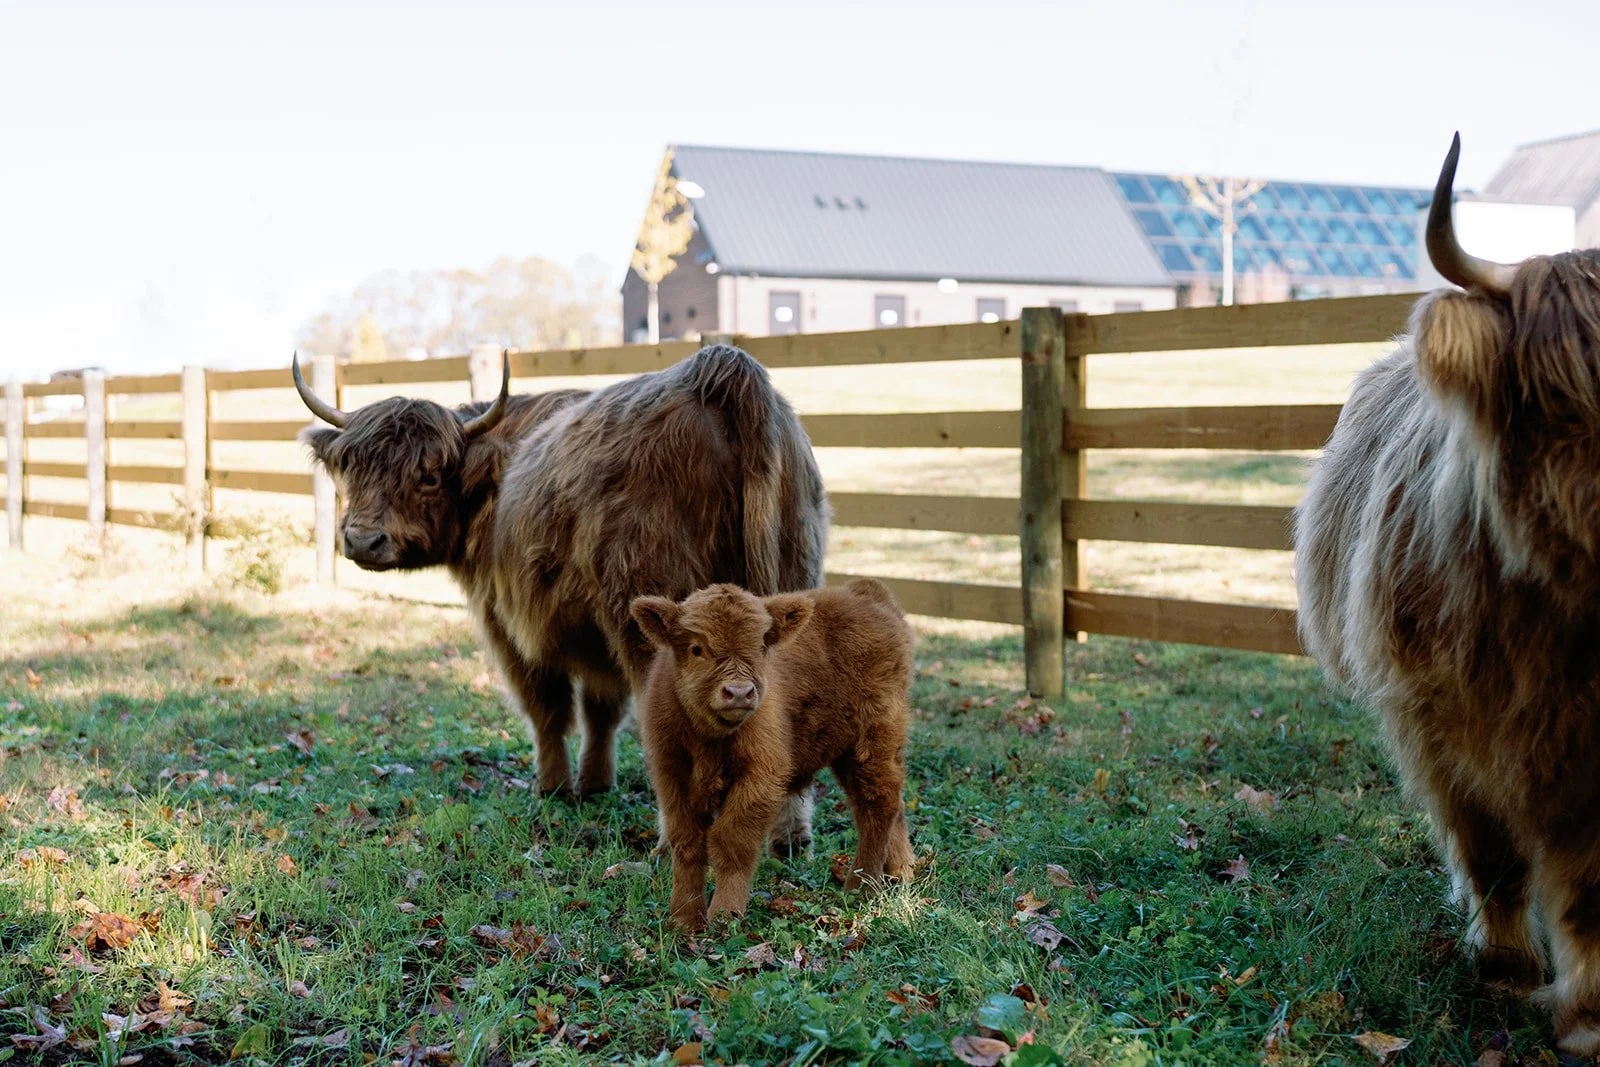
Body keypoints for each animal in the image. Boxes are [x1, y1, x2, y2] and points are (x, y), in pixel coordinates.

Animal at [293, 343, 830, 854]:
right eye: (354, 469)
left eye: (429, 475)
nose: (362, 540)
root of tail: (719, 369)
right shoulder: (595, 635)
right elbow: (601, 710)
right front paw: (594, 783)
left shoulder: (509, 622)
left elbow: (547, 708)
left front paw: (552, 787)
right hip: (789, 587)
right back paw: (789, 836)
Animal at [630, 578, 915, 931]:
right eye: (697, 648)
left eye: (761, 646)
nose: (739, 693)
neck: (709, 738)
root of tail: (864, 591)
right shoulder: (672, 773)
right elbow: (687, 841)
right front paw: (684, 918)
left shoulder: (761, 775)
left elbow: (731, 840)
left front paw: (725, 915)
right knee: (894, 804)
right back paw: (901, 872)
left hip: (871, 744)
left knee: (876, 805)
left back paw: (861, 888)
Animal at [1294, 134, 1600, 1056]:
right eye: (1558, 392)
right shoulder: (1438, 713)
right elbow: (1491, 845)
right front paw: (1508, 970)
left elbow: (1588, 882)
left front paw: (1586, 1013)